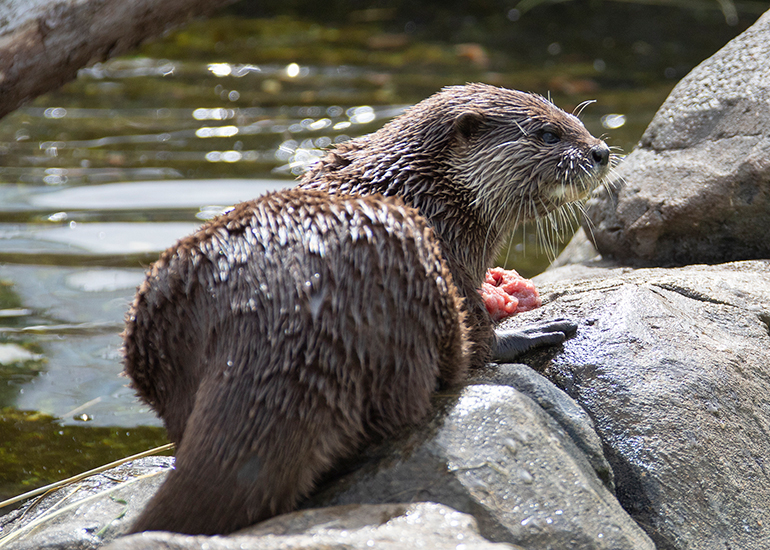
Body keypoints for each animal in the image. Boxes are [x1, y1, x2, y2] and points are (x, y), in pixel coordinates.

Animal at [124, 83, 611, 536]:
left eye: (575, 120)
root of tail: (273, 315)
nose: (601, 151)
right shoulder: (450, 250)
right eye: (547, 134)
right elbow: (478, 325)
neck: (428, 192)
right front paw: (525, 328)